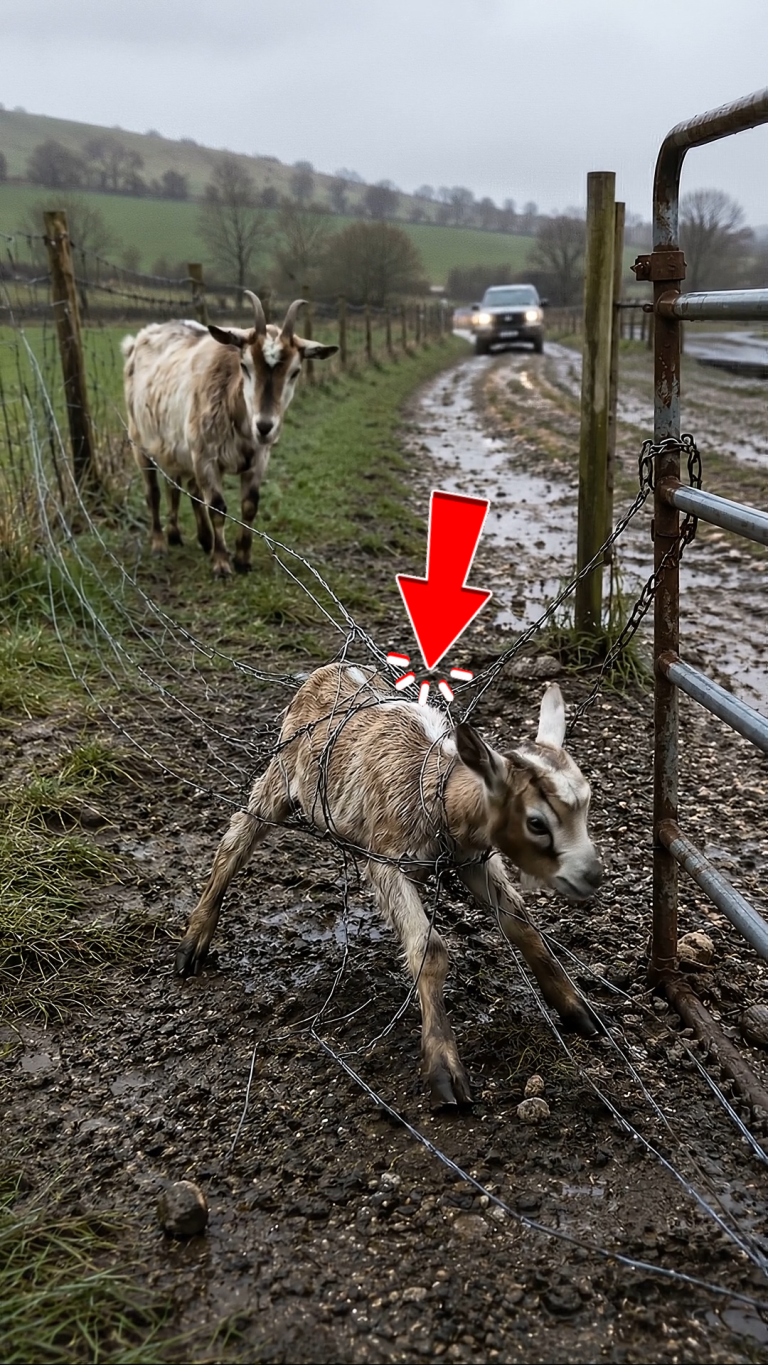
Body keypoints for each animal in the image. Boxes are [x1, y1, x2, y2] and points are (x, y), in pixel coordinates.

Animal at [121, 295, 338, 577]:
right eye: (244, 365)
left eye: (295, 372)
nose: (264, 426)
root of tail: (138, 339)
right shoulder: (206, 456)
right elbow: (217, 506)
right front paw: (222, 563)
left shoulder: (258, 458)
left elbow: (250, 504)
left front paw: (243, 559)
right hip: (140, 439)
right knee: (154, 492)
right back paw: (159, 544)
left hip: (175, 447)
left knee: (178, 486)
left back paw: (188, 537)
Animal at [177, 663, 603, 1106]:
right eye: (537, 822)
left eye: (588, 801)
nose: (591, 874)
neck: (438, 789)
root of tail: (327, 669)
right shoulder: (385, 860)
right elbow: (430, 950)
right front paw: (444, 1071)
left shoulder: (472, 859)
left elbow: (521, 922)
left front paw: (578, 1011)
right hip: (279, 775)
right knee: (235, 841)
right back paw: (192, 946)